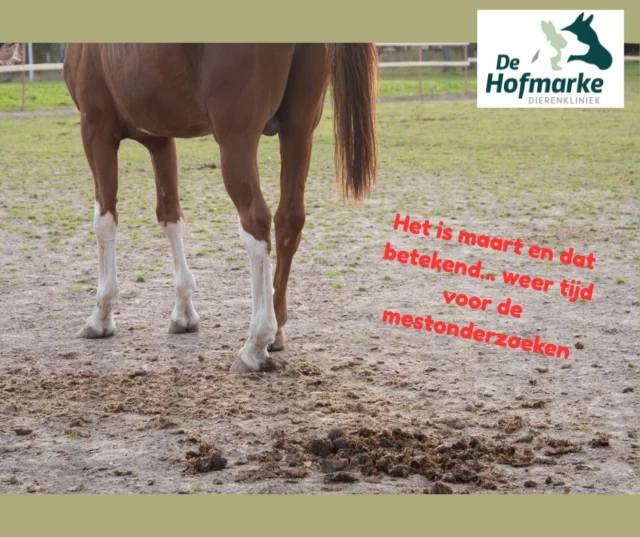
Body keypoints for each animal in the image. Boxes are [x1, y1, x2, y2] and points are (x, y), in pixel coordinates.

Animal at [59, 44, 378, 373]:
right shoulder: (159, 138)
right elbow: (170, 216)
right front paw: (184, 312)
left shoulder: (96, 130)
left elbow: (105, 220)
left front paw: (101, 316)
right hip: (299, 130)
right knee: (289, 219)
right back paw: (276, 331)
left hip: (236, 138)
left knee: (257, 222)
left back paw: (256, 343)